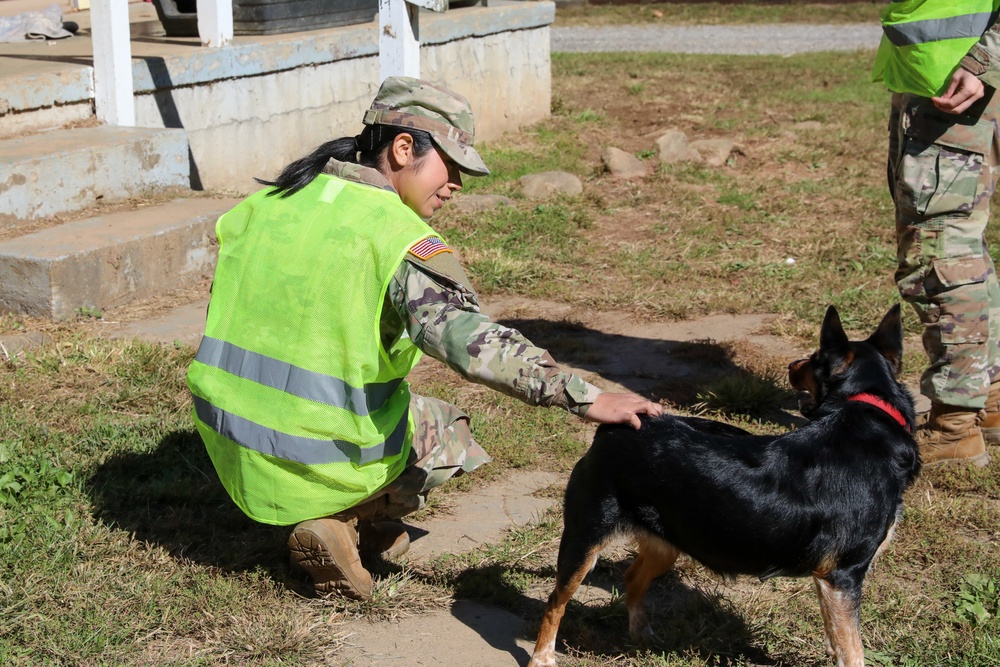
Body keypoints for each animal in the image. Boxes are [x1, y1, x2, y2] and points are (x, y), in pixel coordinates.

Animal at [532, 306, 920, 667]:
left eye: (811, 361)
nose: (791, 365)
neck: (870, 415)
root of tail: (615, 428)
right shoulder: (841, 577)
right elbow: (852, 651)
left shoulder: (833, 585)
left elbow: (839, 640)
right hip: (586, 539)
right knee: (555, 602)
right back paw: (542, 656)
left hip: (667, 542)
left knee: (632, 578)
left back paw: (642, 636)